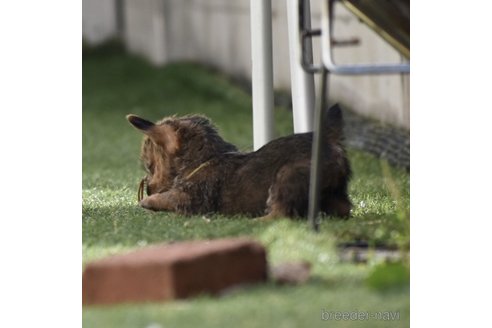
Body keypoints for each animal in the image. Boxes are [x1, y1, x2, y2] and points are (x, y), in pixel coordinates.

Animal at [126, 104, 350, 219]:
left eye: (150, 166)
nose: (148, 190)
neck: (206, 158)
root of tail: (329, 142)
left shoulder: (190, 199)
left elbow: (169, 198)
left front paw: (148, 201)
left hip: (288, 175)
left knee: (281, 214)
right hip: (335, 193)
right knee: (343, 208)